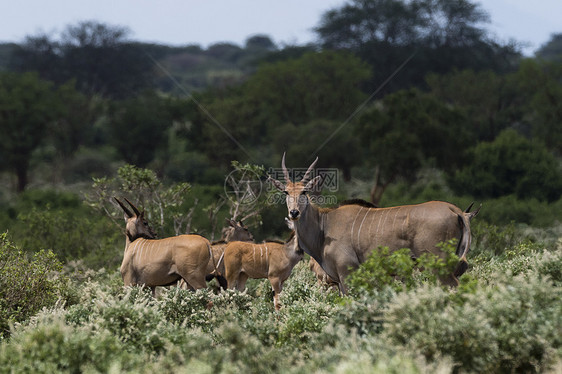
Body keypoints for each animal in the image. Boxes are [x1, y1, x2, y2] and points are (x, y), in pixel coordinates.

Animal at [270, 153, 480, 294]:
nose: (294, 212)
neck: (324, 226)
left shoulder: (347, 273)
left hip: (438, 266)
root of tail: (456, 210)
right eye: (286, 192)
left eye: (304, 191)